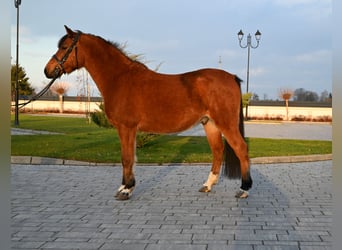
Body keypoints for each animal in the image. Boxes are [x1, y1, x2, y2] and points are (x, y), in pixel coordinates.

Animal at [44, 25, 252, 201]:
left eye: (64, 47)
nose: (47, 71)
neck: (120, 79)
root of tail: (231, 77)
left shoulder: (127, 127)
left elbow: (127, 158)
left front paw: (126, 190)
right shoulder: (128, 129)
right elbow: (128, 157)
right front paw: (124, 187)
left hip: (225, 123)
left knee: (241, 148)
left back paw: (244, 189)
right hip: (209, 123)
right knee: (218, 151)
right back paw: (207, 185)